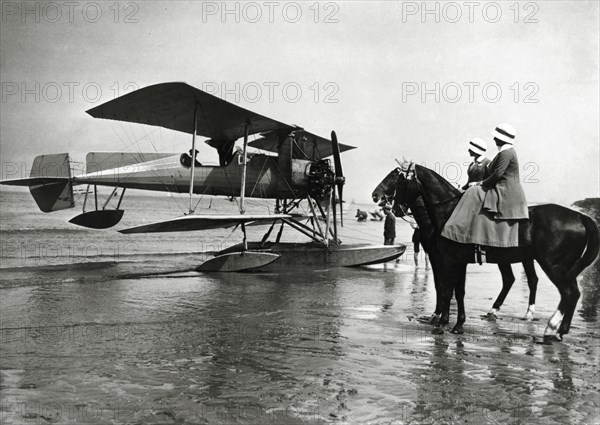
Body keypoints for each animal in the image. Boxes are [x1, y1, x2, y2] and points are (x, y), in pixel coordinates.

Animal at [372, 161, 596, 342]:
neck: (449, 212)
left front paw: (443, 321)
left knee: (566, 292)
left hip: (553, 265)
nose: (376, 195)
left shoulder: (448, 260)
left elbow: (447, 289)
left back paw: (551, 328)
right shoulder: (455, 261)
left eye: (396, 177)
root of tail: (579, 216)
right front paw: (455, 324)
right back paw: (556, 329)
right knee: (567, 292)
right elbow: (456, 291)